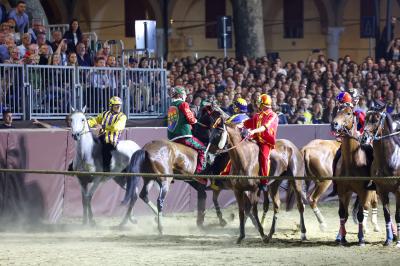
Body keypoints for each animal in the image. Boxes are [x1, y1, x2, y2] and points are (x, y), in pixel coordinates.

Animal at [332, 105, 378, 245]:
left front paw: (361, 238)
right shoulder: (342, 191)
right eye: (337, 111)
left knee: (371, 205)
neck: (352, 161)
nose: (334, 124)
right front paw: (342, 238)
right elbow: (342, 213)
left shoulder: (363, 191)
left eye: (348, 113)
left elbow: (361, 214)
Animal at [360, 109, 398, 246]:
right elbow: (387, 215)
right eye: (365, 119)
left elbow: (397, 215)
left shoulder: (398, 191)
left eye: (376, 120)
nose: (364, 138)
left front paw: (398, 242)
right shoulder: (382, 191)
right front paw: (388, 240)